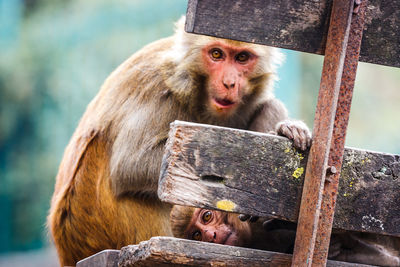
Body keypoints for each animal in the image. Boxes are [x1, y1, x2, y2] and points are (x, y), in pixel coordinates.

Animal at [47, 17, 310, 266]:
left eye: (242, 58)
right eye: (216, 54)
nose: (229, 83)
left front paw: (287, 131)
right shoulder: (160, 85)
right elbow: (130, 165)